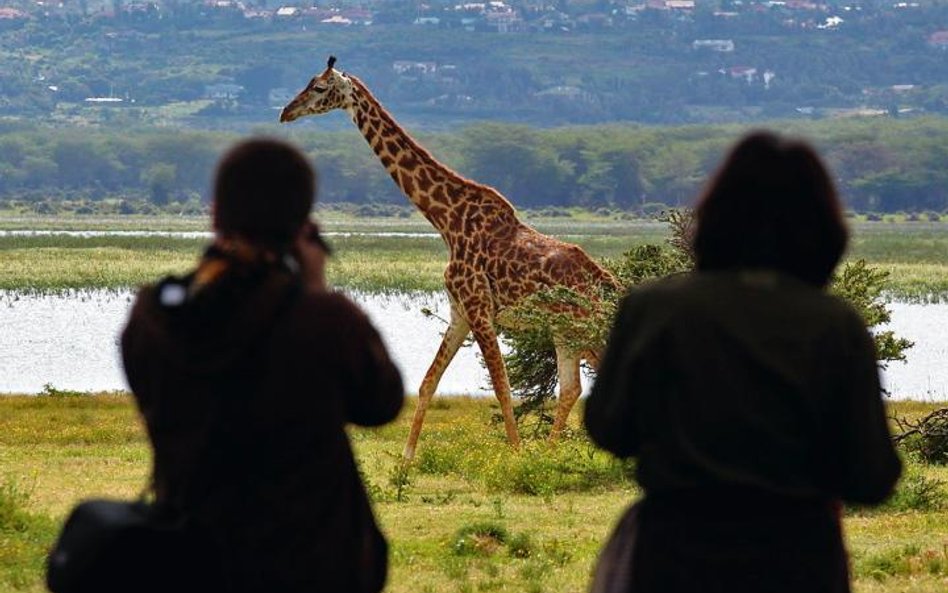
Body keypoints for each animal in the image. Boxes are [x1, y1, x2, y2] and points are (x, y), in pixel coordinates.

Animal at [282, 56, 624, 458]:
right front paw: (406, 460)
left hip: (582, 329)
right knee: (571, 388)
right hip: (567, 330)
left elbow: (501, 386)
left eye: (319, 88)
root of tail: (611, 286)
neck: (448, 220)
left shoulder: (479, 307)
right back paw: (552, 453)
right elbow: (428, 381)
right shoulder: (459, 311)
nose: (286, 112)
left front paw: (515, 454)